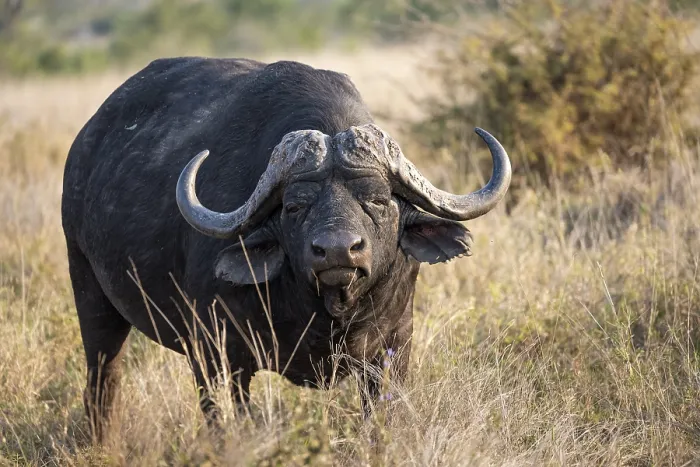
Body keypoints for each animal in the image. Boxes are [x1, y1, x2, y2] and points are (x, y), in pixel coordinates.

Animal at [61, 57, 511, 440]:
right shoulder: (214, 355)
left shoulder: (393, 349)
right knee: (102, 385)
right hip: (90, 294)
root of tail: (85, 144)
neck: (325, 311)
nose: (337, 251)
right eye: (295, 205)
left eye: (378, 199)